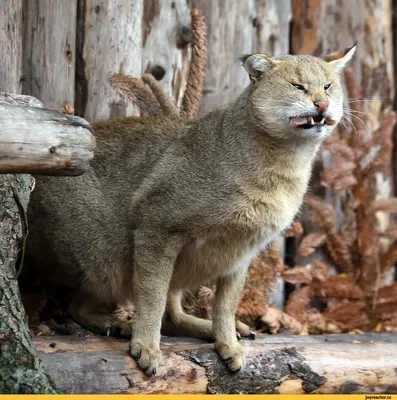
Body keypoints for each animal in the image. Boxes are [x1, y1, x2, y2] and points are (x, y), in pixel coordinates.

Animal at [27, 45, 356, 376]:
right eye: (297, 86)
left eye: (328, 86)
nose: (322, 103)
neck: (284, 164)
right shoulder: (157, 226)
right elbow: (152, 296)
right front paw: (147, 346)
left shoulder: (241, 250)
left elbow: (225, 305)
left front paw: (227, 343)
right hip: (103, 255)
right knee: (77, 304)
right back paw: (116, 324)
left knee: (170, 315)